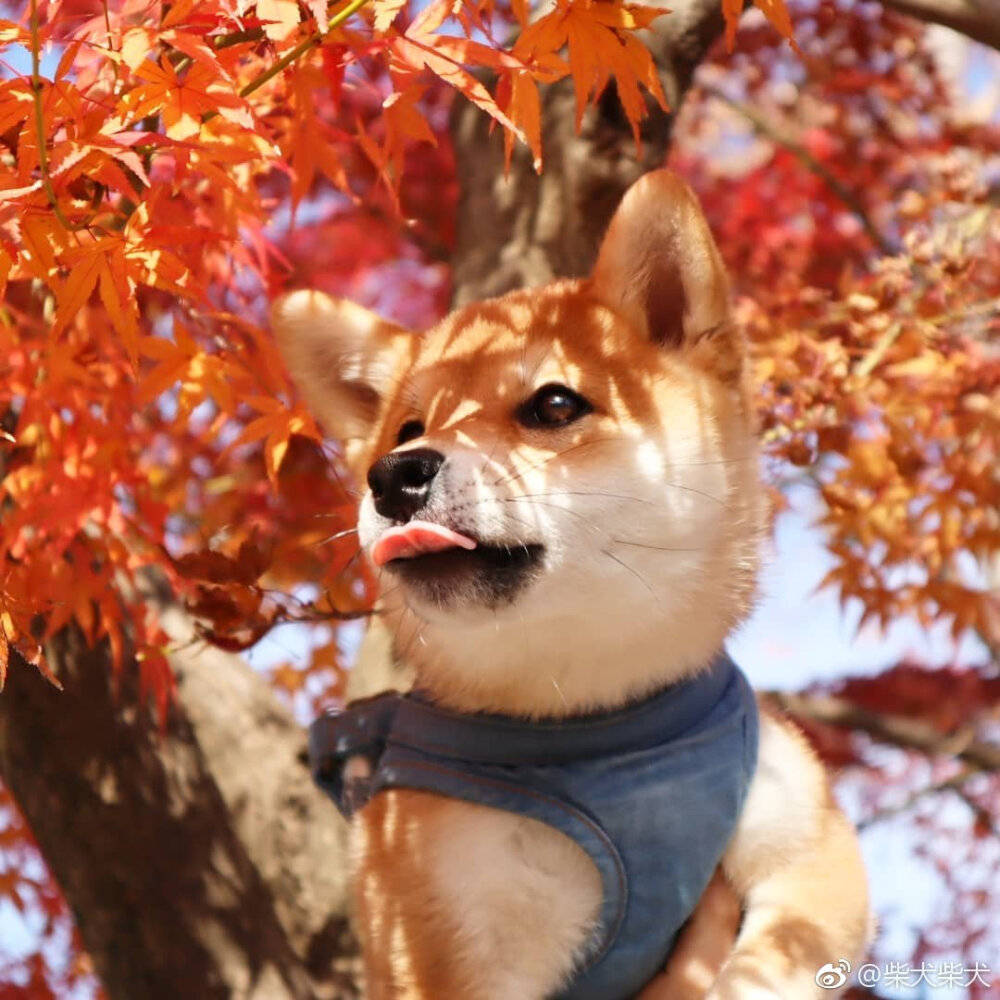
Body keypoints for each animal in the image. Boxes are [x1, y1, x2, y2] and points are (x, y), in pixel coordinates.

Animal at [272, 172, 868, 1000]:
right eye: (406, 430)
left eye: (554, 405)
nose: (392, 476)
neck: (587, 717)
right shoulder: (436, 936)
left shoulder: (811, 856)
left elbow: (769, 966)